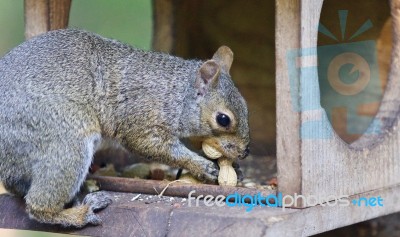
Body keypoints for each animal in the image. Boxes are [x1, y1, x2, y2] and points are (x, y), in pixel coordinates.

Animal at [0, 29, 250, 228]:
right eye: (223, 119)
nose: (245, 151)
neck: (176, 94)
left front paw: (231, 167)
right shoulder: (141, 117)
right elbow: (150, 145)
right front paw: (202, 166)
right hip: (65, 140)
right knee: (38, 206)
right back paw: (80, 213)